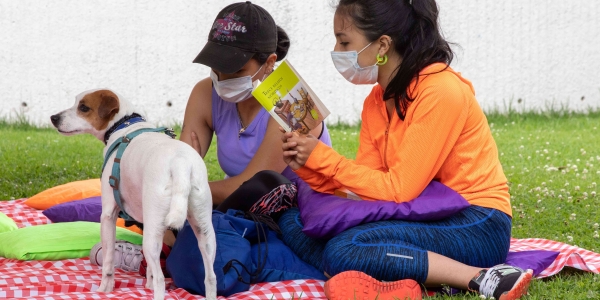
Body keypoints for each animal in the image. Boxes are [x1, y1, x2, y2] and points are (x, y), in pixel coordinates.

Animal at [51, 89, 216, 300]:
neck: (123, 124)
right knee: (210, 277)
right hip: (204, 232)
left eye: (83, 107)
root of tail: (180, 163)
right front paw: (147, 285)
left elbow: (108, 261)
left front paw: (105, 289)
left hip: (154, 234)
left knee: (162, 279)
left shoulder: (108, 215)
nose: (53, 118)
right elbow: (150, 271)